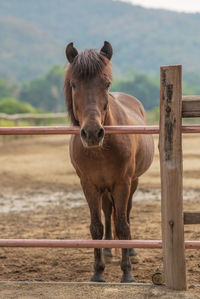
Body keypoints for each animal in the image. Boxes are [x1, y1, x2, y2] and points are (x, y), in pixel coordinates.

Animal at [64, 41, 155, 284]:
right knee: (107, 211)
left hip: (132, 182)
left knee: (127, 214)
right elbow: (96, 226)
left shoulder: (122, 183)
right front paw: (97, 272)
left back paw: (130, 249)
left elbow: (122, 226)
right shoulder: (89, 185)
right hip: (104, 188)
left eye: (106, 84)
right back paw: (106, 248)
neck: (101, 150)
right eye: (74, 84)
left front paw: (127, 274)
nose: (92, 133)